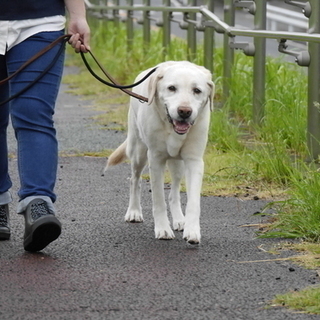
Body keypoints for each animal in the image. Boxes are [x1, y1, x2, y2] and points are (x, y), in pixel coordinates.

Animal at [105, 61, 215, 244]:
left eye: (197, 90)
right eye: (172, 88)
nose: (184, 111)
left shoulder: (194, 161)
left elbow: (193, 202)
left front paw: (192, 231)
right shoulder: (156, 159)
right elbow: (158, 200)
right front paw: (163, 229)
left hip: (177, 163)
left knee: (174, 191)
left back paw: (179, 219)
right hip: (139, 152)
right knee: (134, 180)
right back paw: (134, 211)